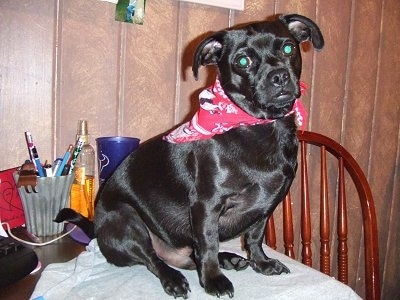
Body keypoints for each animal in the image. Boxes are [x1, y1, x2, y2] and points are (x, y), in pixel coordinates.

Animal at [56, 13, 324, 298]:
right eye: (243, 61)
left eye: (288, 48)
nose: (279, 76)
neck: (261, 127)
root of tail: (97, 228)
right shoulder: (207, 205)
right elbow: (208, 245)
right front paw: (214, 280)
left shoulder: (266, 205)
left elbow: (254, 236)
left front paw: (261, 263)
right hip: (126, 219)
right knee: (152, 258)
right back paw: (174, 278)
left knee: (188, 257)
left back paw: (229, 258)